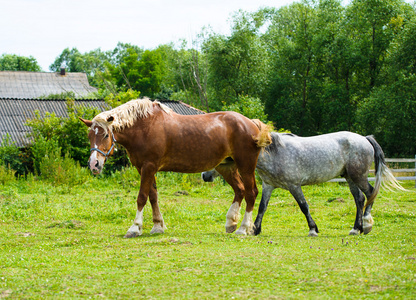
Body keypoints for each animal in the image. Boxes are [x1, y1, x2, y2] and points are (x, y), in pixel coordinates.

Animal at [80, 98, 272, 237]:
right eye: (90, 136)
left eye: (105, 135)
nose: (94, 164)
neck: (144, 127)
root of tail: (251, 123)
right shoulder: (144, 168)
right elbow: (153, 196)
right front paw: (158, 226)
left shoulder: (148, 167)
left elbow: (142, 197)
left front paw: (135, 228)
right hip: (226, 167)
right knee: (239, 190)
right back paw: (231, 223)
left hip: (245, 165)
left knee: (251, 193)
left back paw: (243, 228)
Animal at [203, 131, 404, 237]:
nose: (205, 175)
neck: (275, 153)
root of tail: (364, 138)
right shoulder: (269, 186)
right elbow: (262, 207)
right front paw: (255, 229)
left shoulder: (294, 186)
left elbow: (304, 206)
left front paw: (313, 229)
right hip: (349, 178)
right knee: (360, 199)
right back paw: (356, 228)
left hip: (358, 176)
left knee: (369, 194)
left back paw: (367, 225)